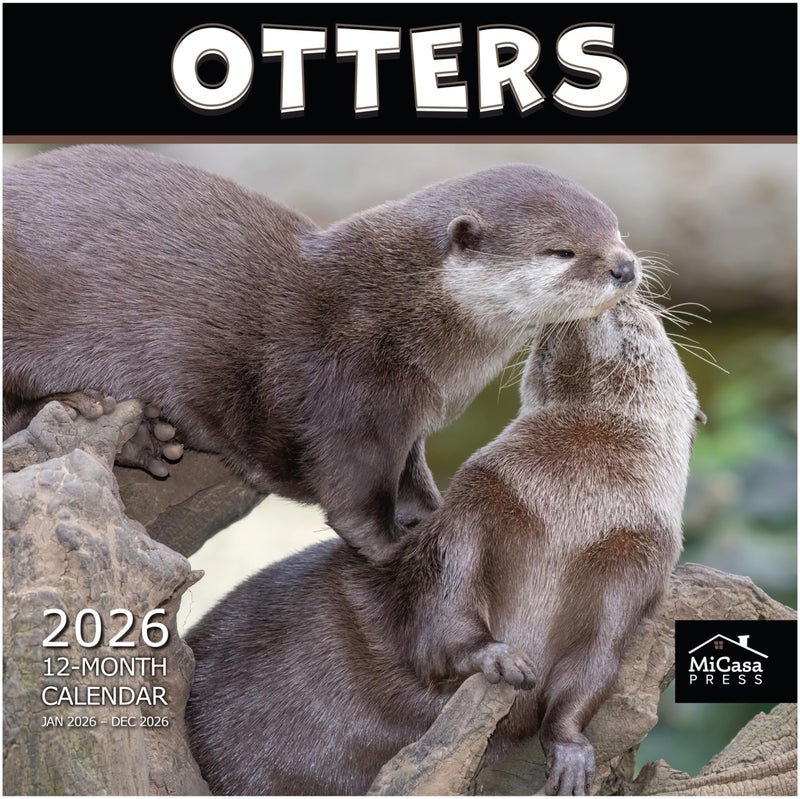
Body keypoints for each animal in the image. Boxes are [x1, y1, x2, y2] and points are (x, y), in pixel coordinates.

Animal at [3, 146, 639, 559]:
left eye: (617, 230)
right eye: (560, 250)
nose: (625, 266)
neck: (396, 317)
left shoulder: (407, 420)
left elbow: (412, 475)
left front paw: (432, 514)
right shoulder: (348, 394)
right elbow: (352, 497)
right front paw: (396, 546)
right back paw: (102, 414)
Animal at [185, 294, 703, 796]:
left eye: (650, 320)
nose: (624, 293)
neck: (569, 514)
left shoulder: (635, 564)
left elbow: (595, 666)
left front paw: (571, 753)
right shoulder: (474, 507)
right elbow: (443, 611)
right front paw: (498, 657)